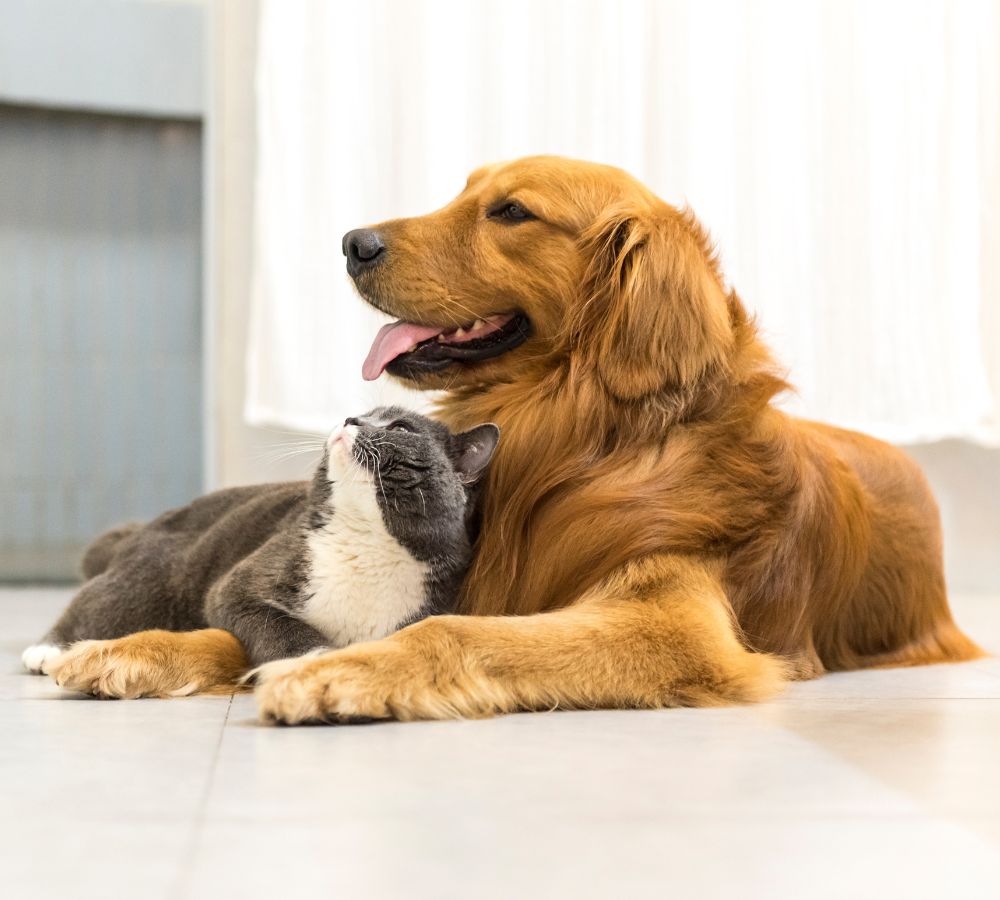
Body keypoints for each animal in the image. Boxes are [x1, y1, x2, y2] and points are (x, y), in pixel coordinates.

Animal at [19, 404, 496, 672]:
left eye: (400, 426)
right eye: (364, 410)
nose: (350, 419)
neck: (368, 544)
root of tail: (148, 525)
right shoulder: (245, 583)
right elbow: (275, 620)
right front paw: (313, 658)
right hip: (147, 583)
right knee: (95, 604)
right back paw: (45, 651)